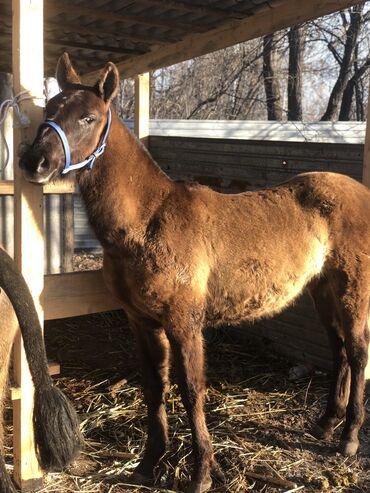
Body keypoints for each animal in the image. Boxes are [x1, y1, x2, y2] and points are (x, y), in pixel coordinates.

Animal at [19, 52, 370, 490]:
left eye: (88, 117)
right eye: (49, 110)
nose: (33, 162)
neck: (148, 221)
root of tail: (359, 192)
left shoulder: (183, 322)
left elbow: (191, 391)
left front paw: (201, 472)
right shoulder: (142, 322)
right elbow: (154, 388)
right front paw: (149, 464)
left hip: (352, 288)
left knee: (357, 351)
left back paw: (349, 436)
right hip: (322, 289)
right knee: (339, 349)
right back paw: (325, 423)